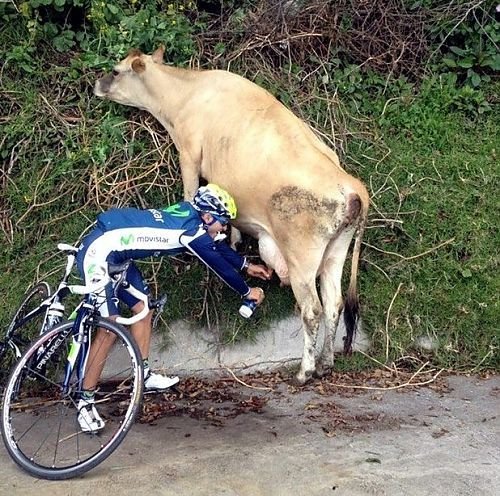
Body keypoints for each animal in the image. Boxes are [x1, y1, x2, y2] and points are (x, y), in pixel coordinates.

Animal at [94, 46, 368, 386]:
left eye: (116, 71)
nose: (97, 83)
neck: (187, 93)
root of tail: (352, 186)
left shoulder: (188, 153)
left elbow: (189, 194)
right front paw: (234, 242)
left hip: (302, 257)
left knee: (312, 310)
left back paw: (305, 371)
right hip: (335, 252)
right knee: (333, 305)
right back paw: (326, 363)